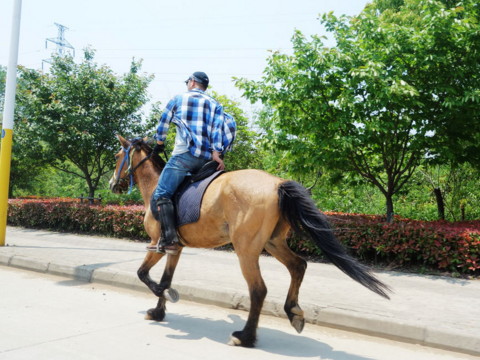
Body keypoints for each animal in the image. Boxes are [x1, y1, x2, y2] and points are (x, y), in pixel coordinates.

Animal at [109, 136, 390, 348]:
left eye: (116, 156)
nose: (112, 184)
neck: (156, 187)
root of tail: (277, 183)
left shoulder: (157, 243)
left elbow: (143, 274)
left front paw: (162, 296)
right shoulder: (174, 248)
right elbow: (166, 278)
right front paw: (158, 311)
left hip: (246, 250)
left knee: (258, 290)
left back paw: (245, 337)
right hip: (273, 242)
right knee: (298, 266)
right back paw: (294, 313)